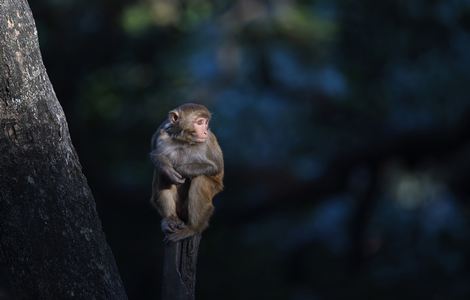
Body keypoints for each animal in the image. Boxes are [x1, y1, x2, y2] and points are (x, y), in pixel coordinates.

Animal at [151, 103, 224, 241]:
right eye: (200, 122)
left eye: (206, 122)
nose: (205, 131)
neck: (184, 140)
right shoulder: (161, 132)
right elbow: (156, 155)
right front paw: (168, 169)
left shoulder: (209, 139)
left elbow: (216, 166)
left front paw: (181, 169)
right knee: (162, 176)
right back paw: (170, 219)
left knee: (200, 179)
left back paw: (193, 228)